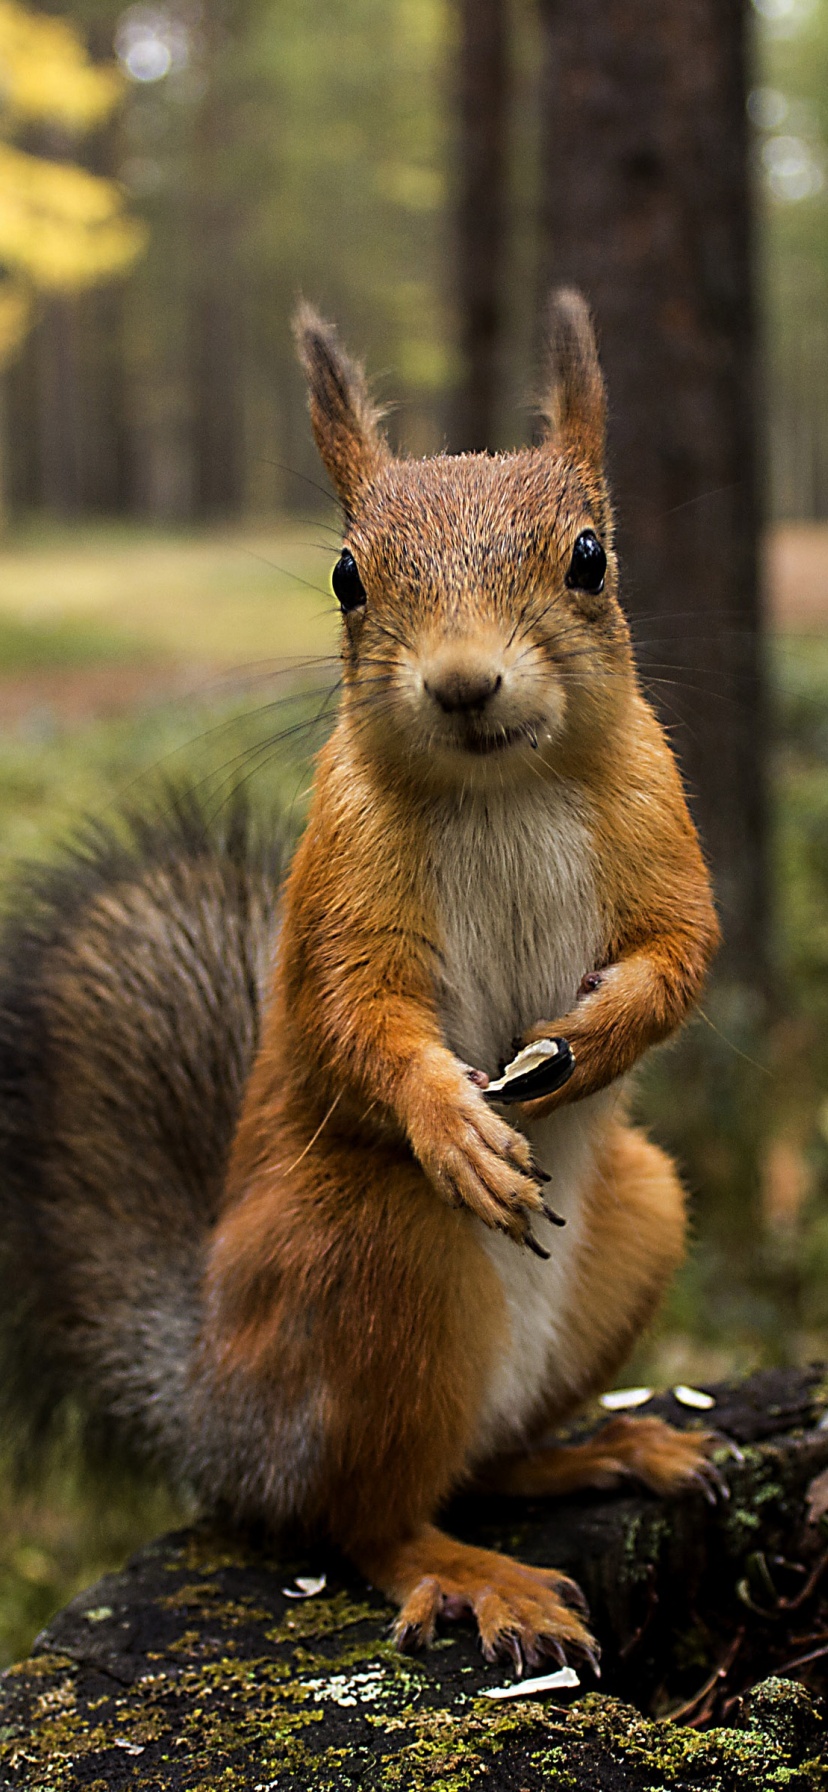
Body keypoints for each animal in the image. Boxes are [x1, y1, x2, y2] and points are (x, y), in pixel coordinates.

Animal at [0, 286, 716, 1670]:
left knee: (480, 1462)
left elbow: (681, 955)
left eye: (589, 557)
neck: (504, 786)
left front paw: (592, 1042)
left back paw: (604, 1448)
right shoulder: (344, 879)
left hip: (644, 1214)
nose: (464, 682)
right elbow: (354, 1018)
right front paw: (455, 1121)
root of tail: (216, 1417)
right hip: (374, 1257)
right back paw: (474, 1574)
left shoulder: (662, 833)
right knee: (363, 1516)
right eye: (345, 576)